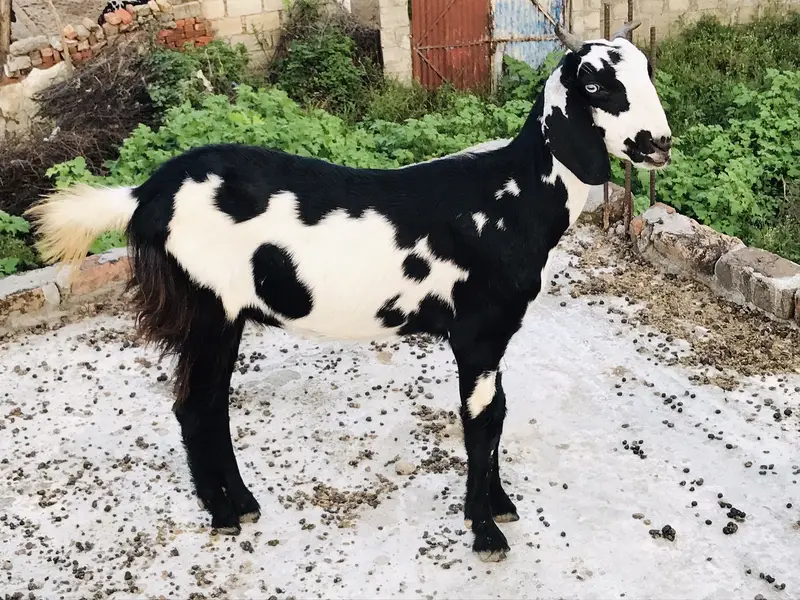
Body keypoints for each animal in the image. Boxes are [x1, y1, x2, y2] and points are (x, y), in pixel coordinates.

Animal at [28, 22, 671, 563]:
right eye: (595, 84)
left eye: (646, 71)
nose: (658, 143)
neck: (512, 198)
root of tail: (144, 195)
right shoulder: (477, 332)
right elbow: (481, 421)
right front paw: (485, 531)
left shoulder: (495, 336)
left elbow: (499, 413)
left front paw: (502, 506)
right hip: (206, 304)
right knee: (194, 405)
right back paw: (222, 513)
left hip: (225, 313)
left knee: (210, 403)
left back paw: (242, 504)